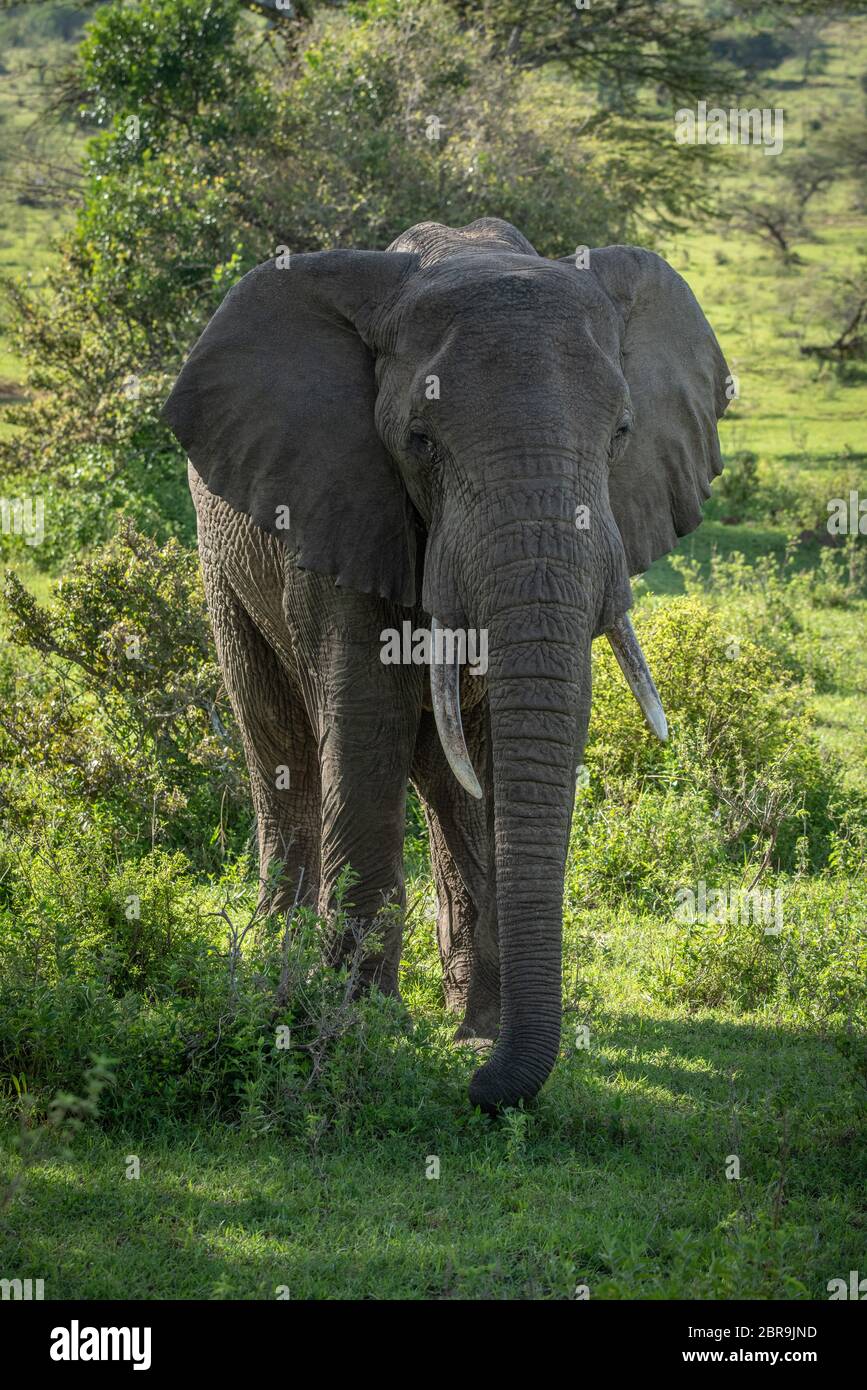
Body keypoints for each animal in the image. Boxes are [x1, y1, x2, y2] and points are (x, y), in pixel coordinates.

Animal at [162, 217, 730, 1113]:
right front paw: (360, 1029)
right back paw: (278, 976)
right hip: (222, 561)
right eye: (418, 443)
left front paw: (471, 1041)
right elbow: (364, 726)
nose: (481, 1093)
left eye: (621, 435)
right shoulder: (340, 495)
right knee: (279, 750)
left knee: (450, 785)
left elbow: (509, 740)